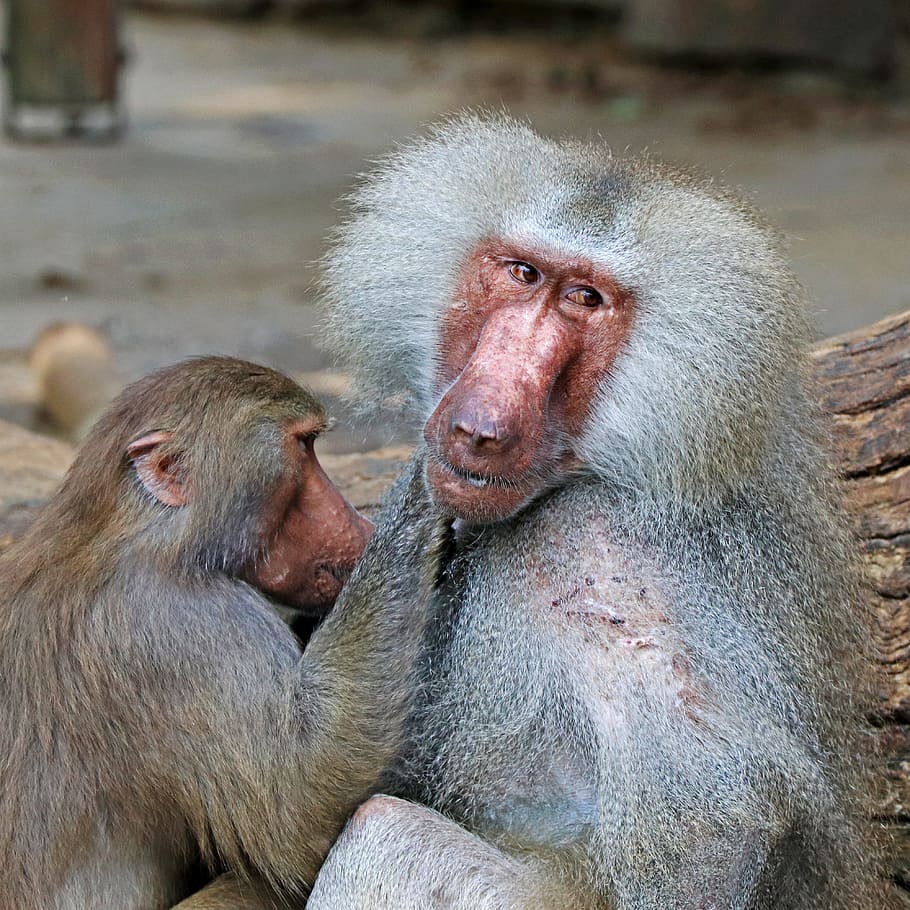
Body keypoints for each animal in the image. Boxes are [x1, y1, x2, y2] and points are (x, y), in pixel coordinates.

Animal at [0, 356, 447, 910]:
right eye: (304, 446)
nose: (357, 523)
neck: (134, 534)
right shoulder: (187, 624)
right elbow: (299, 806)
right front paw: (428, 482)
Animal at [309, 114, 891, 909]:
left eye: (585, 299)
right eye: (523, 274)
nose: (478, 429)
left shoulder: (597, 550)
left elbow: (721, 818)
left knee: (384, 834)